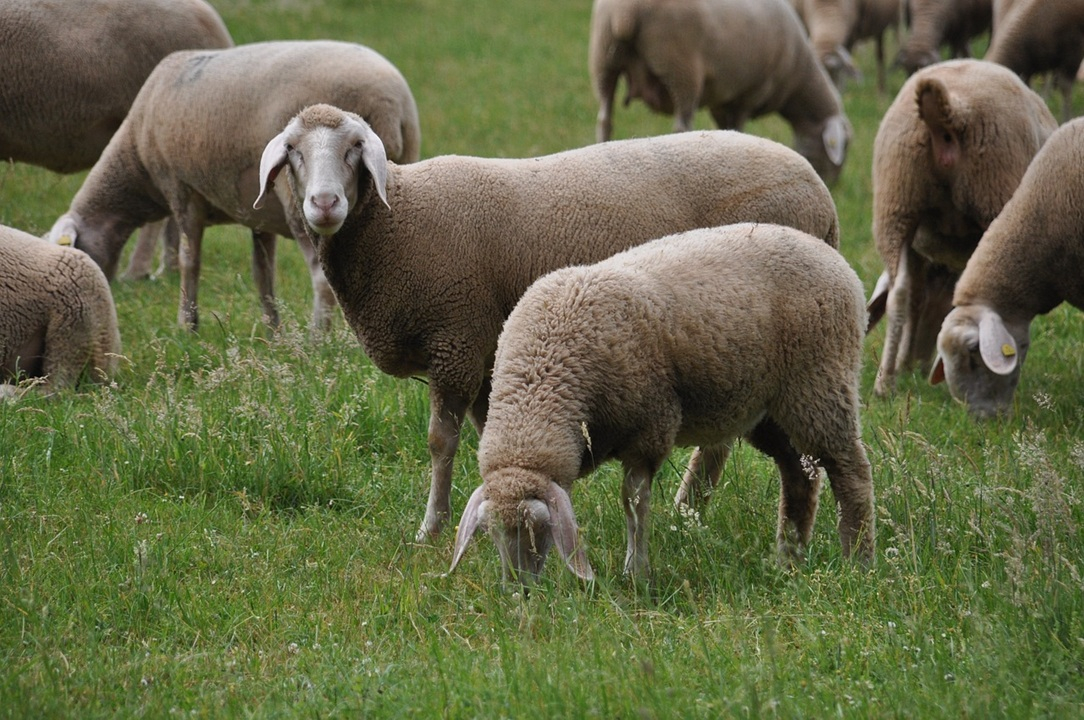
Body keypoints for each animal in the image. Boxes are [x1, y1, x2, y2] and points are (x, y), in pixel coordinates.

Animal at [47, 40, 421, 332]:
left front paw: (187, 324)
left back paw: (320, 340)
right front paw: (273, 332)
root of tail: (392, 102)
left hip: (301, 202)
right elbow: (262, 273)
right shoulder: (259, 216)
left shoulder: (181, 189)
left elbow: (189, 260)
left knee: (321, 275)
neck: (135, 155)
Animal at [255, 104, 843, 543]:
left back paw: (694, 509)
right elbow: (486, 435)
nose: (324, 203)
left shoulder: (455, 339)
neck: (398, 219)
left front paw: (431, 529)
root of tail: (820, 191)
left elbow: (441, 442)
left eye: (355, 149)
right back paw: (690, 511)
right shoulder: (485, 349)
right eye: (294, 152)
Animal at [446, 224, 874, 585]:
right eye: (491, 534)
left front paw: (635, 574)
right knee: (798, 473)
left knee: (850, 470)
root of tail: (834, 260)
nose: (518, 591)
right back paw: (788, 557)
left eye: (540, 528)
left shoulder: (650, 428)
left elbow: (634, 503)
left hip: (819, 385)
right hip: (767, 408)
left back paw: (857, 560)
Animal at [588, 0, 852, 186]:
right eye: (845, 146)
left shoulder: (722, 98)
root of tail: (626, 12)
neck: (797, 75)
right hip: (681, 70)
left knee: (604, 119)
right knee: (680, 126)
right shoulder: (751, 93)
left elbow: (724, 130)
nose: (833, 183)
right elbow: (738, 128)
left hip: (604, 58)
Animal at [867, 59, 1057, 397]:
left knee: (898, 293)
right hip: (994, 196)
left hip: (897, 199)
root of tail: (952, 109)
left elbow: (914, 297)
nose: (917, 365)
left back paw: (884, 383)